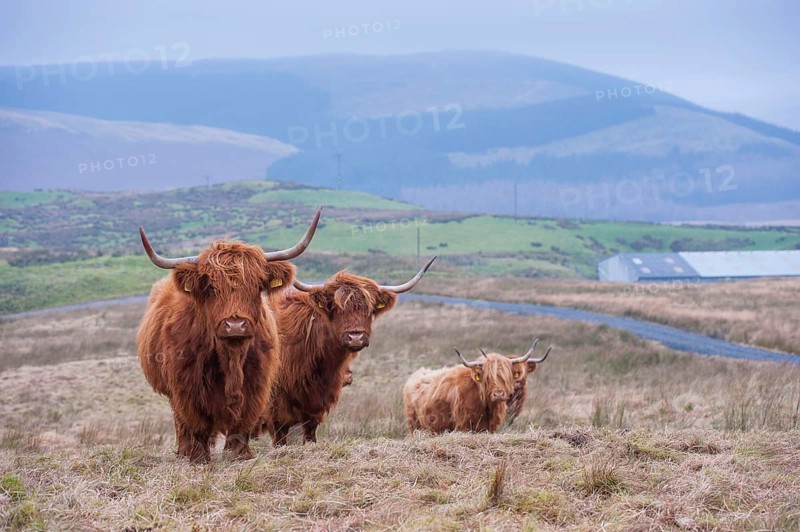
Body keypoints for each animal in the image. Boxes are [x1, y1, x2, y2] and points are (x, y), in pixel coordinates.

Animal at [136, 208, 320, 463]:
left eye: (256, 286)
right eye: (211, 288)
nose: (235, 325)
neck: (231, 357)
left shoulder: (256, 387)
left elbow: (242, 424)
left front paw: (240, 454)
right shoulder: (186, 389)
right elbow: (196, 425)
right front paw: (198, 457)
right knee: (181, 423)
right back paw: (184, 452)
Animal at [259, 257, 436, 446]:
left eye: (369, 310)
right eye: (336, 308)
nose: (355, 337)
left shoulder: (315, 406)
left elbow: (310, 434)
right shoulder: (276, 407)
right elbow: (280, 438)